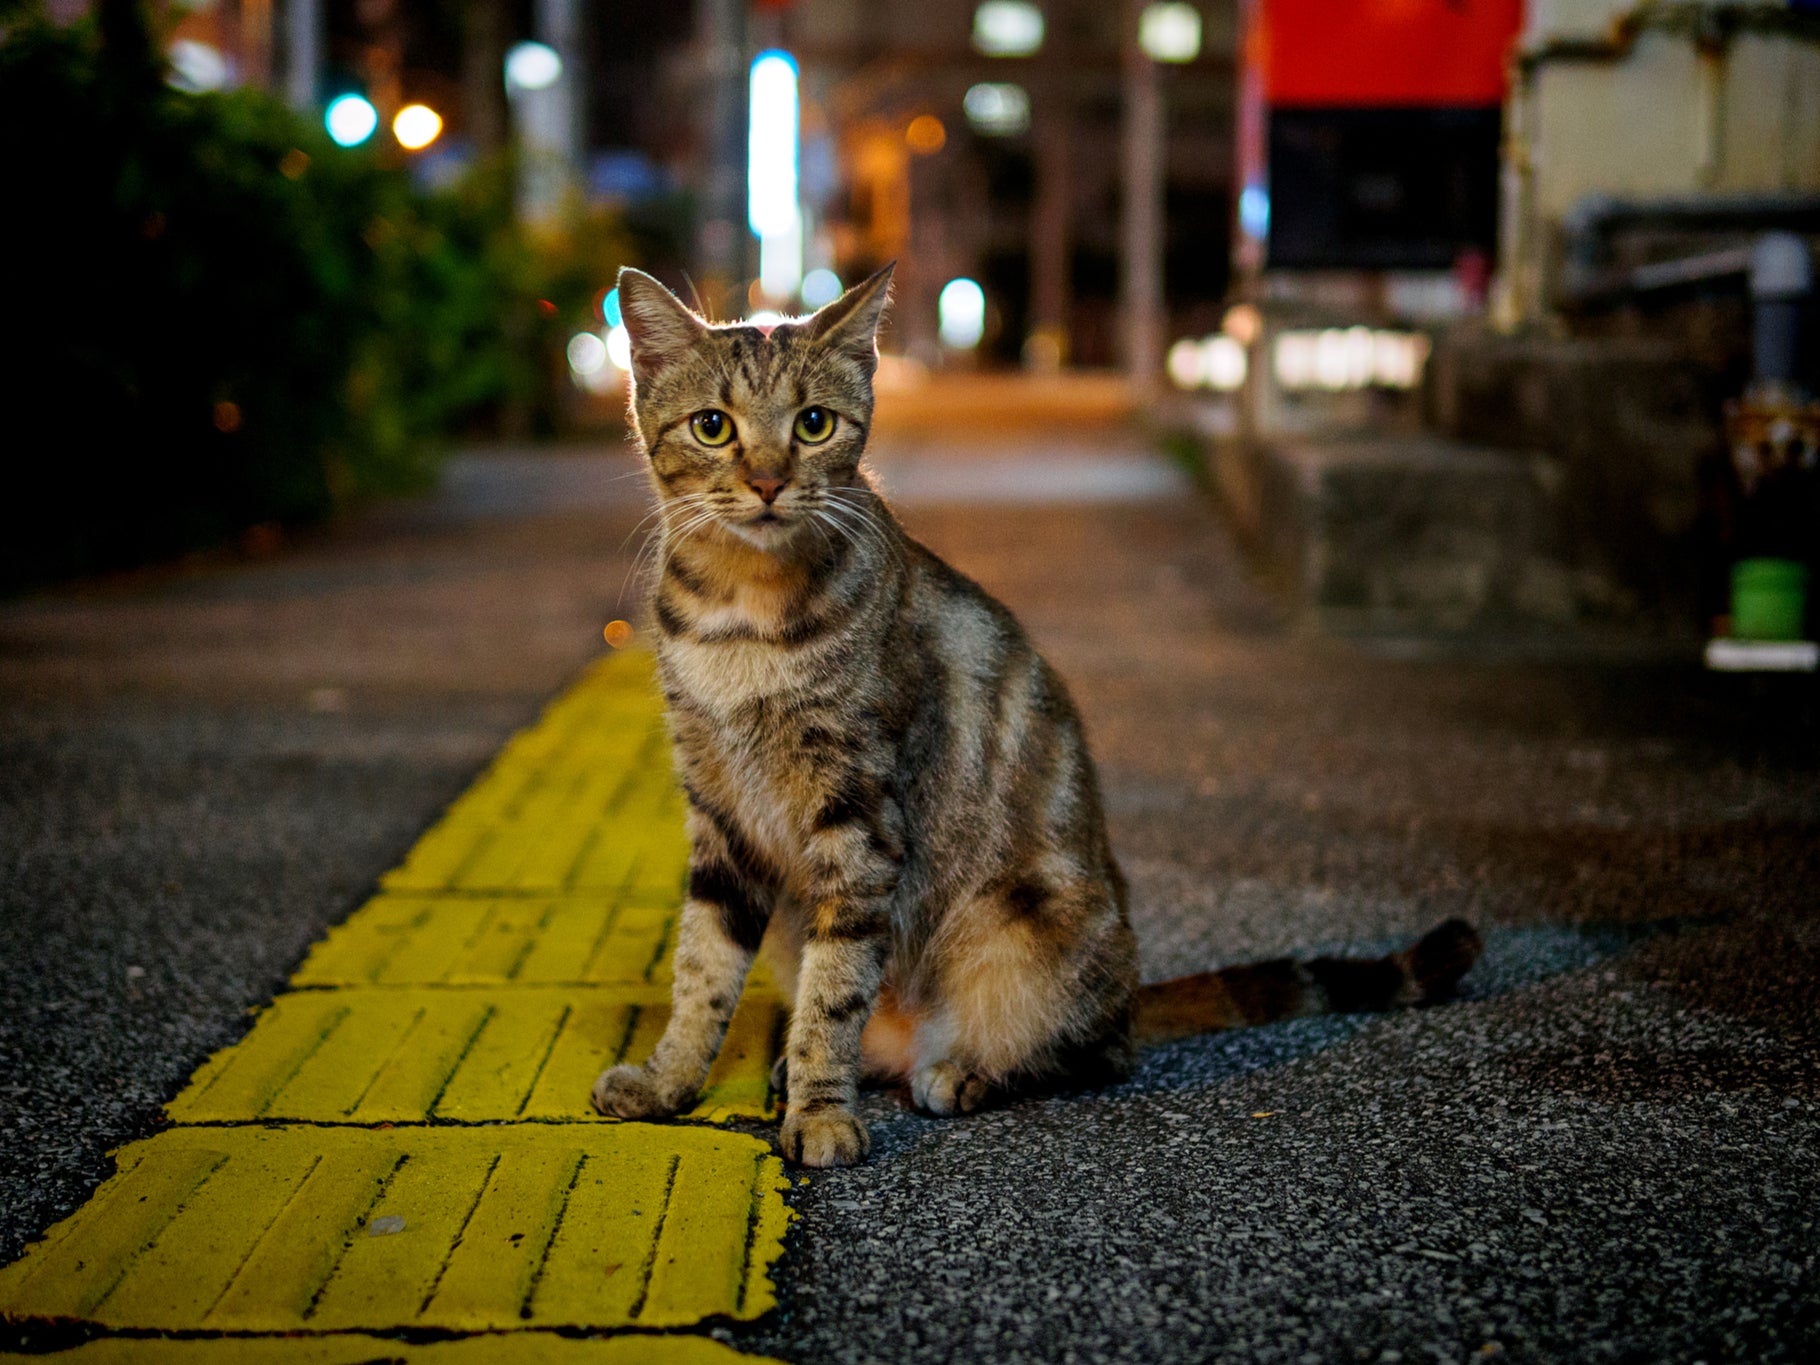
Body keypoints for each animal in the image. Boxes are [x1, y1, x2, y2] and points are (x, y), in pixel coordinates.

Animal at [586, 267, 1477, 1164]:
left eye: (813, 424)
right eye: (712, 426)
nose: (769, 481)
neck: (740, 619)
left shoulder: (859, 820)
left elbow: (833, 990)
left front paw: (821, 1111)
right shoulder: (719, 815)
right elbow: (702, 968)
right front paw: (669, 1081)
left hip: (1026, 933)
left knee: (1092, 1054)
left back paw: (962, 1071)